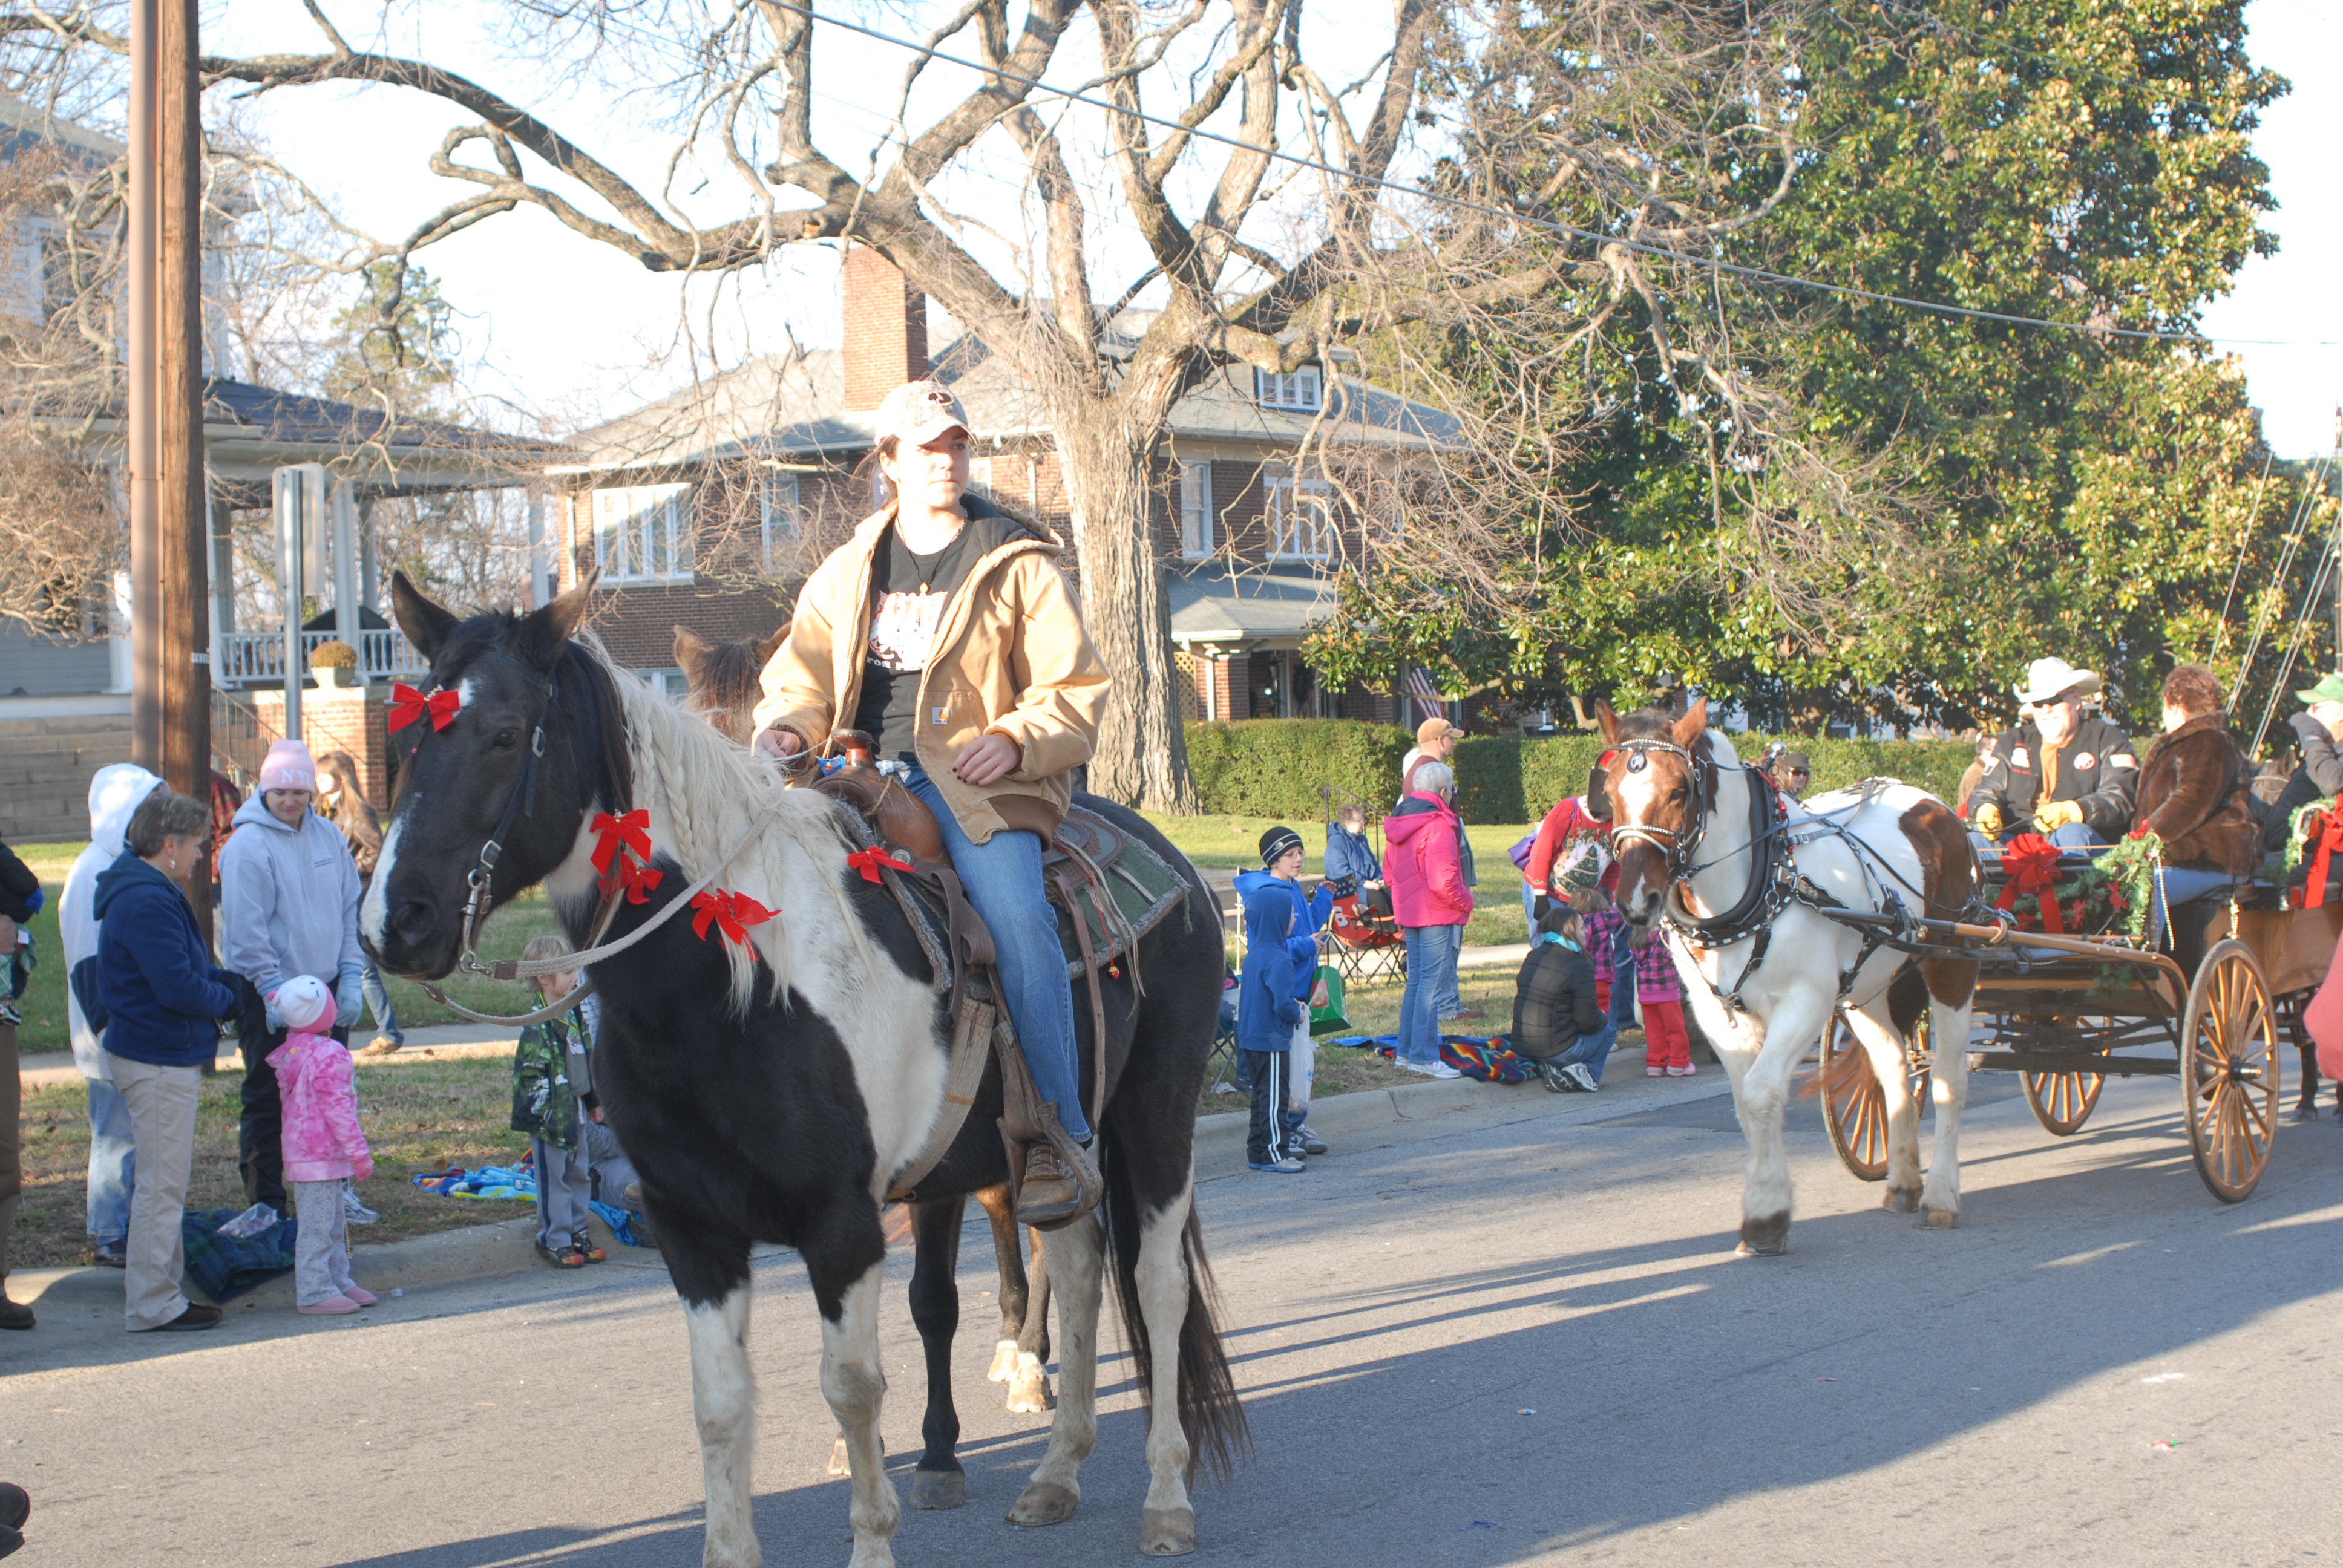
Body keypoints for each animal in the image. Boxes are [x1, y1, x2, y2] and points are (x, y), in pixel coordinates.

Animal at [1597, 699, 1981, 1252]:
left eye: (1678, 791)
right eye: (1608, 796)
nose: (1635, 901)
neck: (1763, 877)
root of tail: (1937, 807)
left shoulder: (1806, 1001)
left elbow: (1762, 1093)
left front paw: (1764, 1214)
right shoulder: (1720, 1014)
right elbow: (1747, 1103)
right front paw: (1767, 1207)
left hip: (1952, 962)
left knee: (1950, 1079)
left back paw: (1942, 1195)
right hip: (1862, 989)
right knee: (1892, 1065)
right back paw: (1905, 1181)